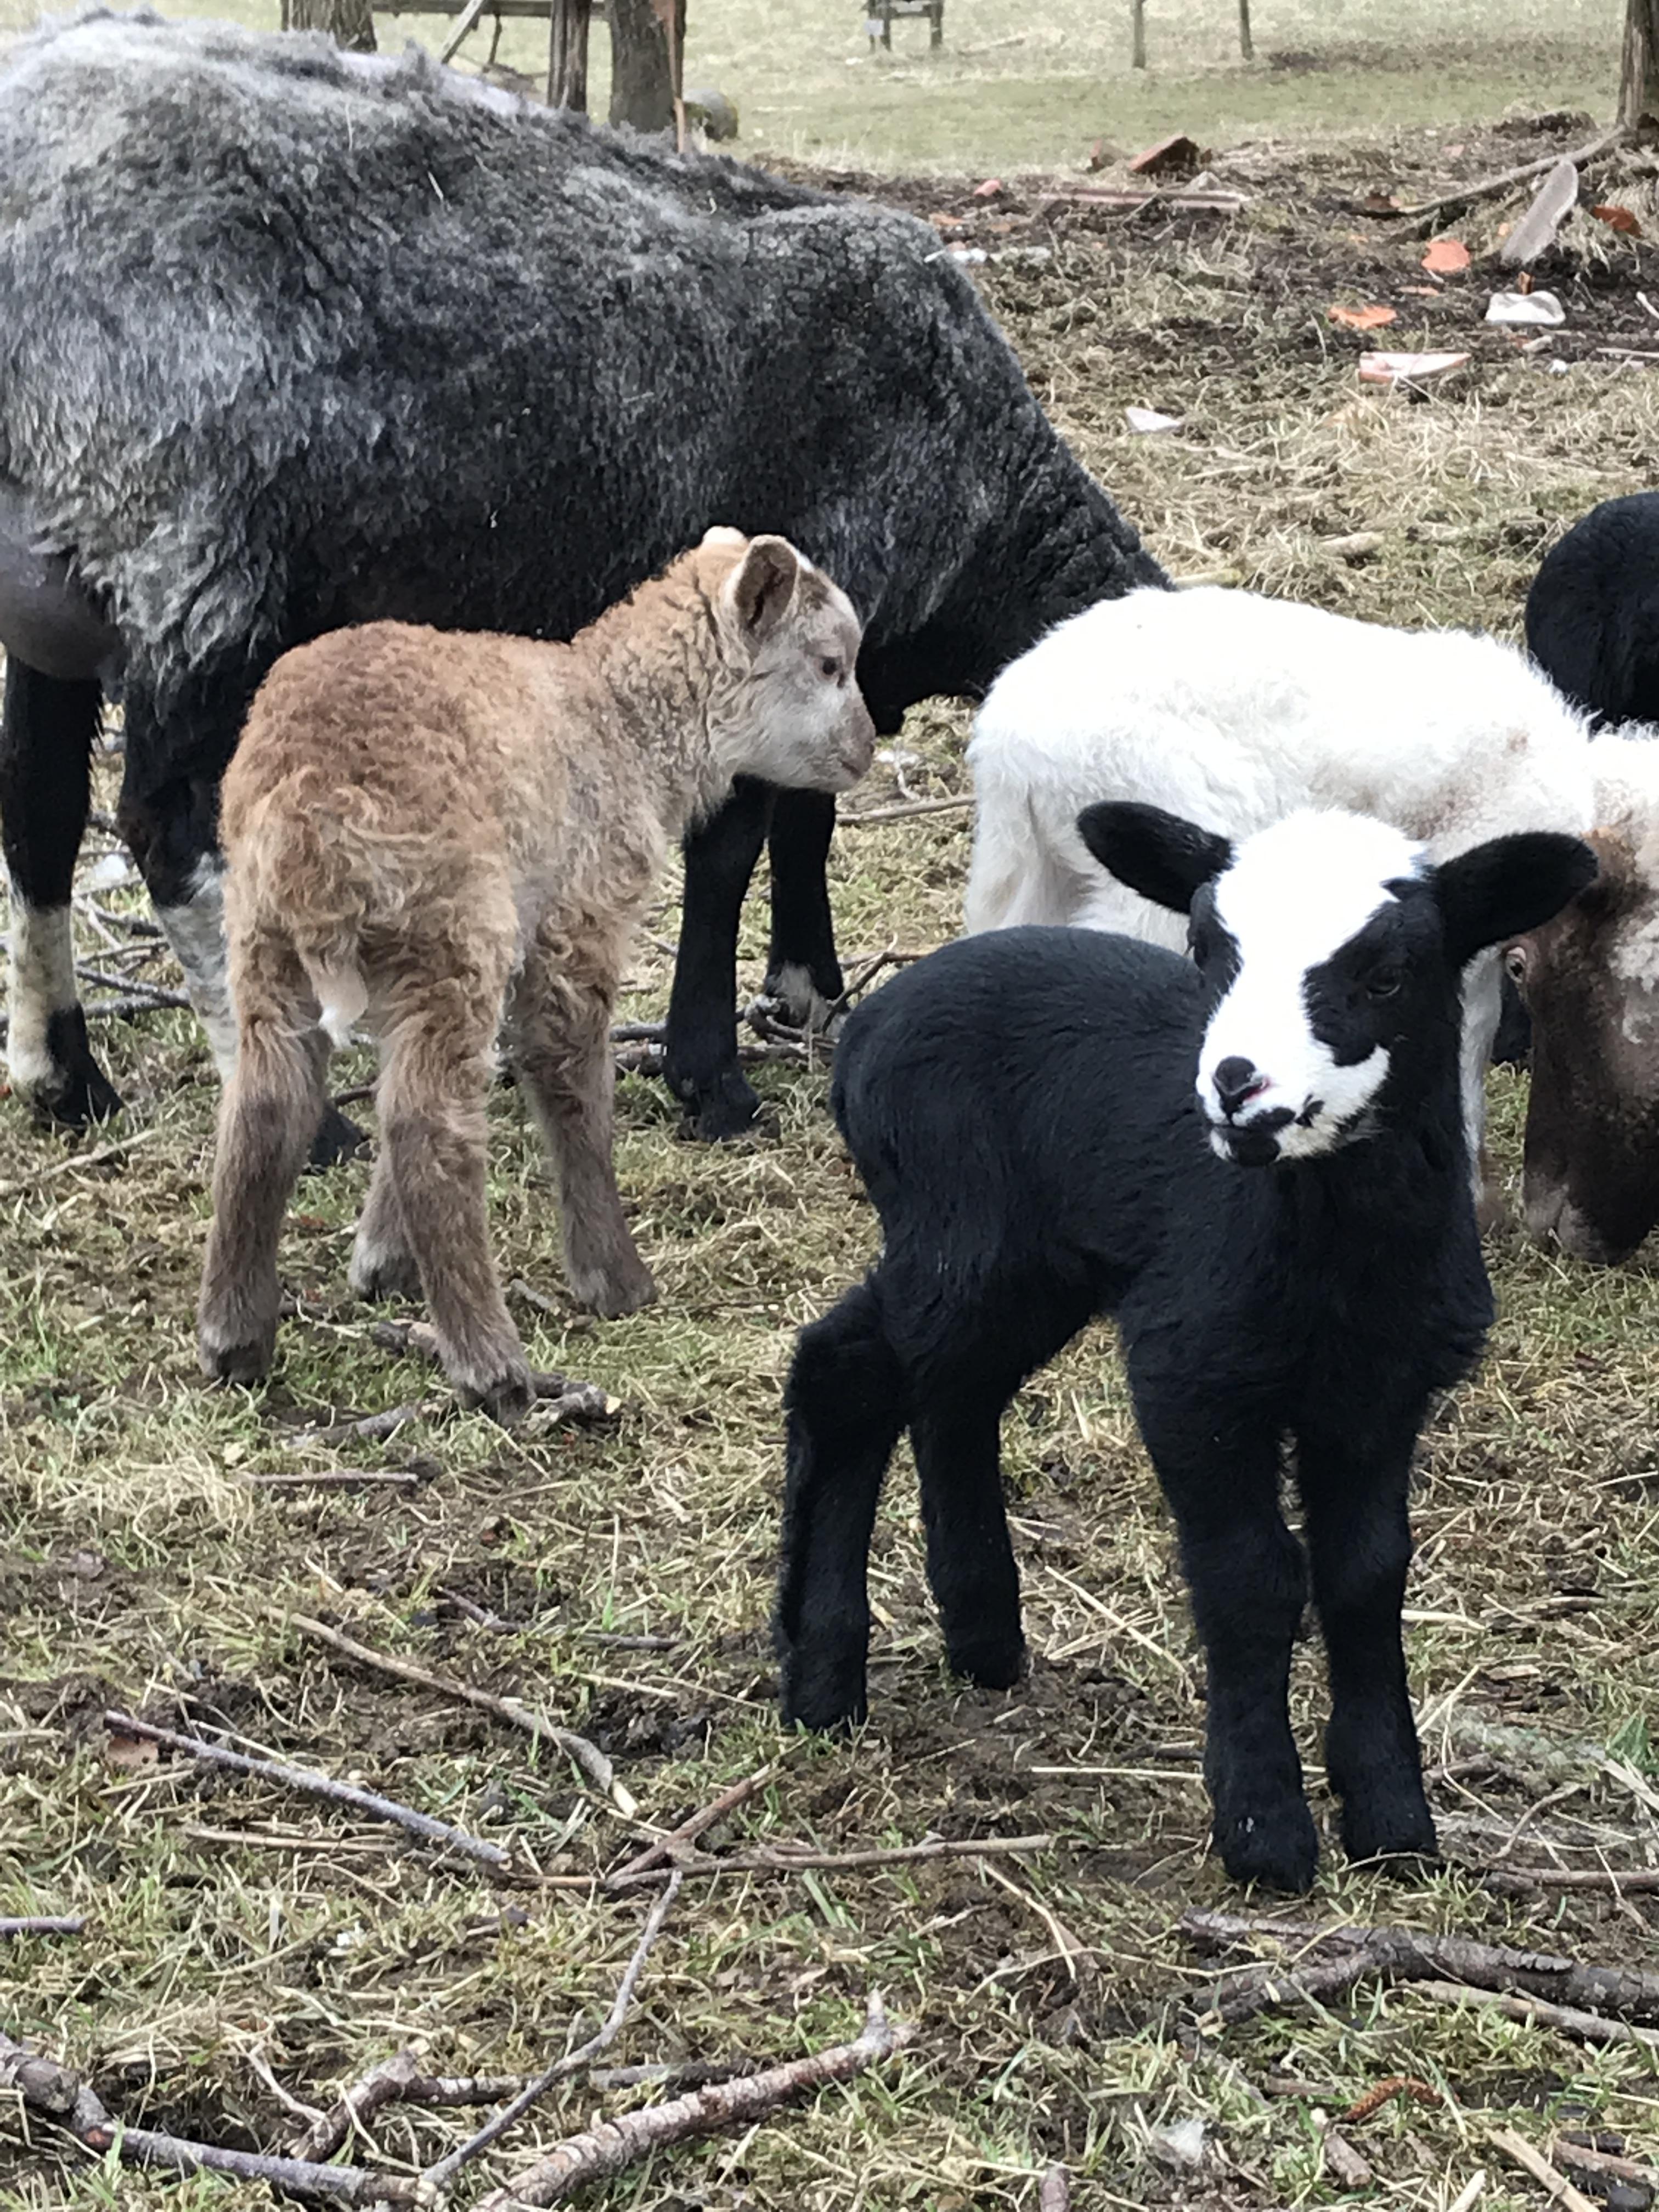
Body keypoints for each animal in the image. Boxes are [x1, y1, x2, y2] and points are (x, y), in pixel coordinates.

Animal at [0, 11, 1163, 1151]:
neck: (984, 488)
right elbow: (734, 842)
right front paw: (711, 1075)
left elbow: (808, 814)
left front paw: (805, 990)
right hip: (190, 556)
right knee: (166, 833)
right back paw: (299, 1111)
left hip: (57, 584)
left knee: (41, 820)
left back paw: (66, 1077)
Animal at [196, 531, 874, 1422]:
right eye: (830, 664)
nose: (868, 748)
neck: (626, 727)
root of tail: (311, 809)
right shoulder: (573, 924)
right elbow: (573, 1086)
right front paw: (614, 1280)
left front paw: (381, 1260)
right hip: (449, 925)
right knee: (430, 1132)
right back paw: (492, 1364)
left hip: (268, 941)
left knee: (268, 1108)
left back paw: (234, 1337)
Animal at [775, 803, 1594, 1893]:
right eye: (1207, 949)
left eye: (1386, 974)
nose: (1236, 1088)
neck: (1331, 1249)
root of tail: (869, 1025)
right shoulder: (1193, 1373)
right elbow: (1252, 1577)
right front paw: (1264, 1830)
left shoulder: (1380, 1390)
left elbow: (1366, 1576)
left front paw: (1391, 1821)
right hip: (959, 1234)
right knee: (848, 1373)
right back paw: (821, 1675)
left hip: (1025, 1265)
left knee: (948, 1396)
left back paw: (981, 1635)